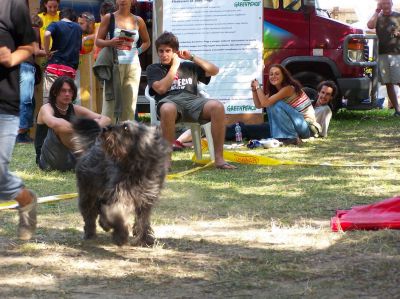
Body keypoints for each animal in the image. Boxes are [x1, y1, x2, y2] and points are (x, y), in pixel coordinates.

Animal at [72, 118, 170, 247]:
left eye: (126, 128)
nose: (105, 129)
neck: (136, 167)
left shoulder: (146, 200)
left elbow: (143, 220)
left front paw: (144, 239)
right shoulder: (120, 193)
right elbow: (117, 214)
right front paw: (120, 235)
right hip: (88, 193)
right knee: (89, 214)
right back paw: (90, 232)